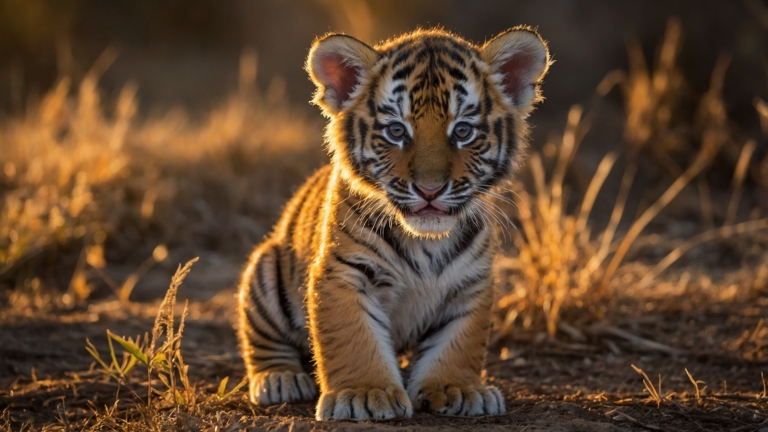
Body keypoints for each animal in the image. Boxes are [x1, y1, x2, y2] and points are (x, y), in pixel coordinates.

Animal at [236, 26, 550, 420]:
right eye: (397, 131)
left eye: (462, 131)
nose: (430, 190)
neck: (426, 241)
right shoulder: (344, 273)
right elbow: (353, 338)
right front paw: (364, 394)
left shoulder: (470, 283)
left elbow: (459, 342)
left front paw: (458, 388)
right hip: (264, 272)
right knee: (262, 341)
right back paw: (281, 380)